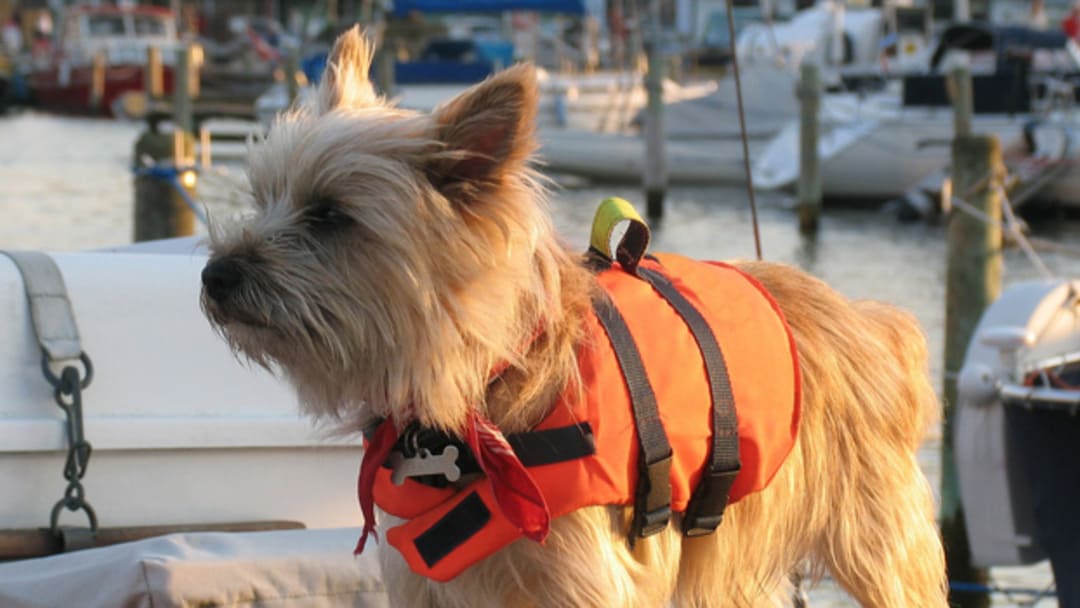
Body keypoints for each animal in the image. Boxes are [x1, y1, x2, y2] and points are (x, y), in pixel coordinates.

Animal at [200, 27, 946, 608]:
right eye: (263, 197)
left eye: (329, 215)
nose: (214, 276)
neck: (481, 388)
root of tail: (868, 321)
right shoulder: (426, 582)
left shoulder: (589, 576)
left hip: (879, 545)